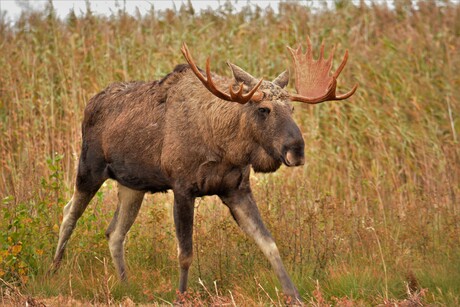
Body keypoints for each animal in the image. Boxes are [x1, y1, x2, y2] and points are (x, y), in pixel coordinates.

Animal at [52, 38, 358, 304]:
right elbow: (185, 253)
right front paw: (180, 297)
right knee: (69, 213)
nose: (296, 150)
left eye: (292, 108)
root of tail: (90, 102)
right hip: (89, 167)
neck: (225, 148)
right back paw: (52, 271)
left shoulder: (236, 189)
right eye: (263, 109)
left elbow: (269, 243)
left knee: (114, 232)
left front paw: (294, 296)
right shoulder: (182, 187)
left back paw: (125, 285)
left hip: (132, 184)